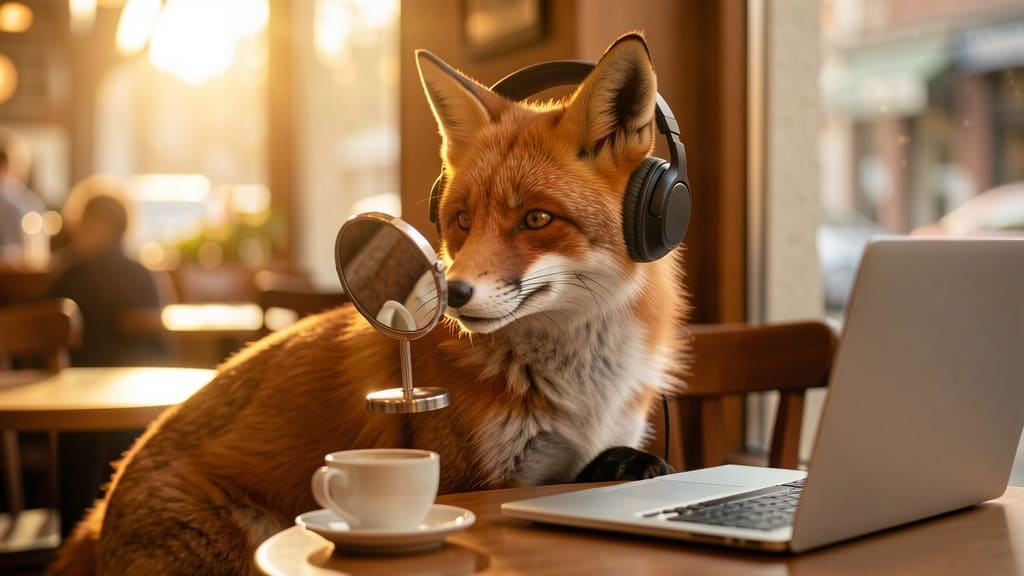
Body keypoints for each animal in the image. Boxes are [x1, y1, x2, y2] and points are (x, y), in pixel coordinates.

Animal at [46, 32, 690, 575]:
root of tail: (100, 509)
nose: (454, 294)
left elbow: (623, 467)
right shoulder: (478, 480)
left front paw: (639, 470)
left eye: (536, 219)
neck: (580, 384)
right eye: (461, 220)